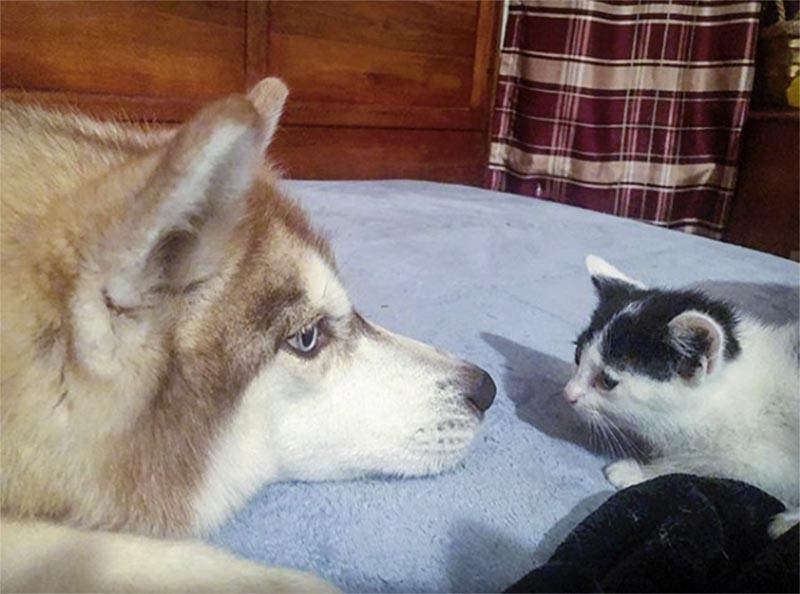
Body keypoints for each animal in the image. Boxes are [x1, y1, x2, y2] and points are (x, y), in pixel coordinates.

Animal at [564, 254, 796, 536]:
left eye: (607, 381)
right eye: (578, 356)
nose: (568, 394)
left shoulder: (765, 463)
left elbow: (700, 468)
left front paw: (636, 472)